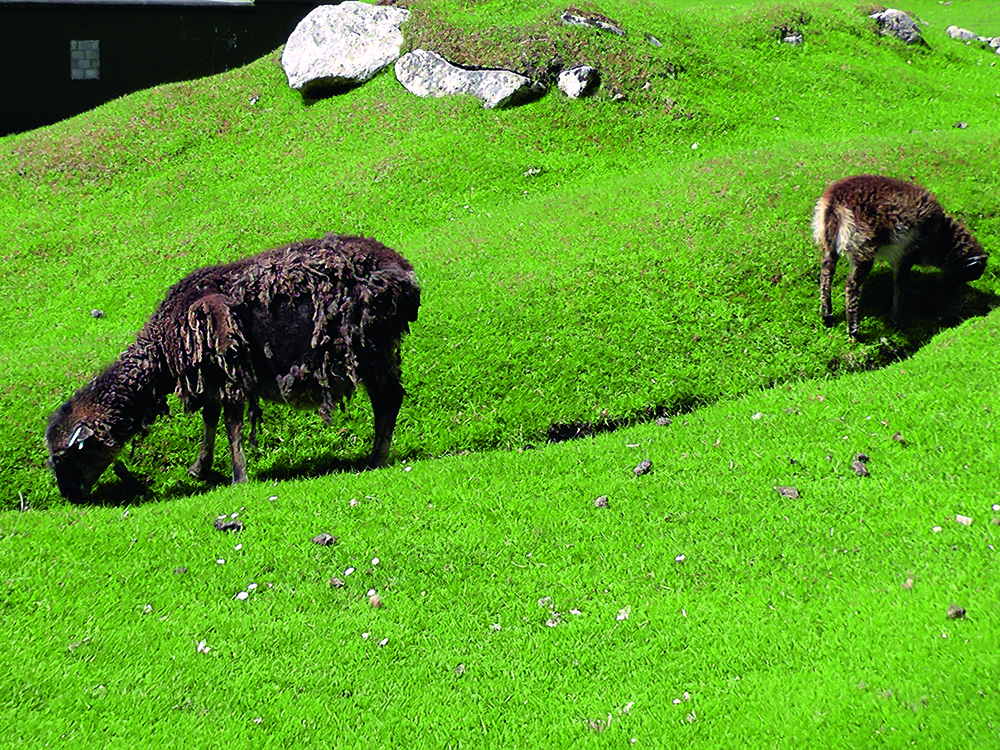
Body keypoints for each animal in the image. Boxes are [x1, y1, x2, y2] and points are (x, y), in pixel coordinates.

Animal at [46, 233, 420, 503]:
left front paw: (238, 476)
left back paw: (376, 458)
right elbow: (210, 419)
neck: (162, 345)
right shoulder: (210, 377)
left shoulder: (229, 372)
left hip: (370, 346)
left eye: (65, 457)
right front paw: (200, 468)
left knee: (388, 399)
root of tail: (404, 272)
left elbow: (231, 425)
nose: (70, 497)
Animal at [814, 174, 987, 338]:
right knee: (852, 285)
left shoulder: (897, 256)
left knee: (826, 272)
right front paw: (896, 319)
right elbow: (900, 283)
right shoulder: (907, 254)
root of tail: (834, 202)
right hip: (863, 246)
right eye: (964, 274)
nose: (946, 290)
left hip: (829, 242)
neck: (941, 237)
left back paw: (827, 315)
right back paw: (854, 330)